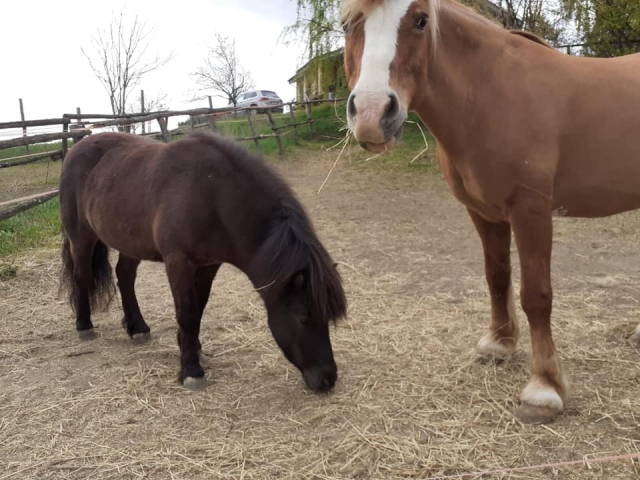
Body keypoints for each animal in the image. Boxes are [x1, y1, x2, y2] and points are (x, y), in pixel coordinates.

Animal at [58, 130, 347, 393]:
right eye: (303, 318)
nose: (327, 379)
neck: (211, 193)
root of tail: (75, 149)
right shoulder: (178, 261)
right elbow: (186, 313)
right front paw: (191, 371)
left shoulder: (208, 265)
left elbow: (199, 309)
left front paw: (194, 350)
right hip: (81, 237)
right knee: (82, 276)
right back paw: (85, 326)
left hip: (130, 241)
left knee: (125, 276)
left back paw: (137, 328)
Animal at [340, 0, 640, 423]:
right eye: (347, 25)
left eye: (420, 20)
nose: (371, 114)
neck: (488, 94)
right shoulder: (485, 213)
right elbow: (496, 277)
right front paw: (500, 342)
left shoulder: (531, 211)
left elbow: (537, 295)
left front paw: (544, 389)